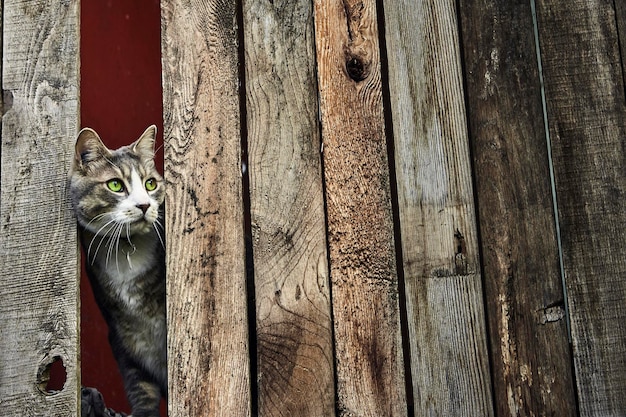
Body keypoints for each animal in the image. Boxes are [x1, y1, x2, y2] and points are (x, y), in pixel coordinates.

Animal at [69, 126, 166, 416]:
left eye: (150, 184)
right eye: (115, 185)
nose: (145, 205)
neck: (125, 250)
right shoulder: (122, 334)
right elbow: (140, 384)